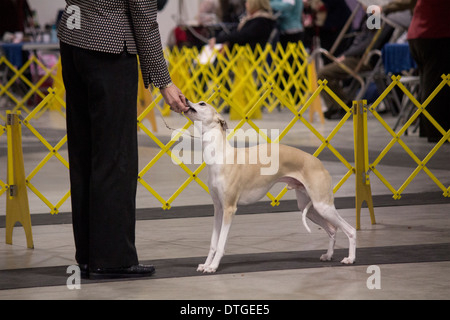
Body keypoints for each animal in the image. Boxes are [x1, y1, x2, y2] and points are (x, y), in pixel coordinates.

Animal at [183, 100, 356, 272]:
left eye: (202, 104)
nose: (185, 101)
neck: (220, 156)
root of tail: (319, 163)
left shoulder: (229, 209)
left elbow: (220, 243)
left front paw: (213, 266)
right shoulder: (218, 209)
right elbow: (213, 242)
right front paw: (206, 264)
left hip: (323, 206)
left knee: (351, 230)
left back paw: (350, 258)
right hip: (308, 207)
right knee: (332, 229)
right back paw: (328, 255)